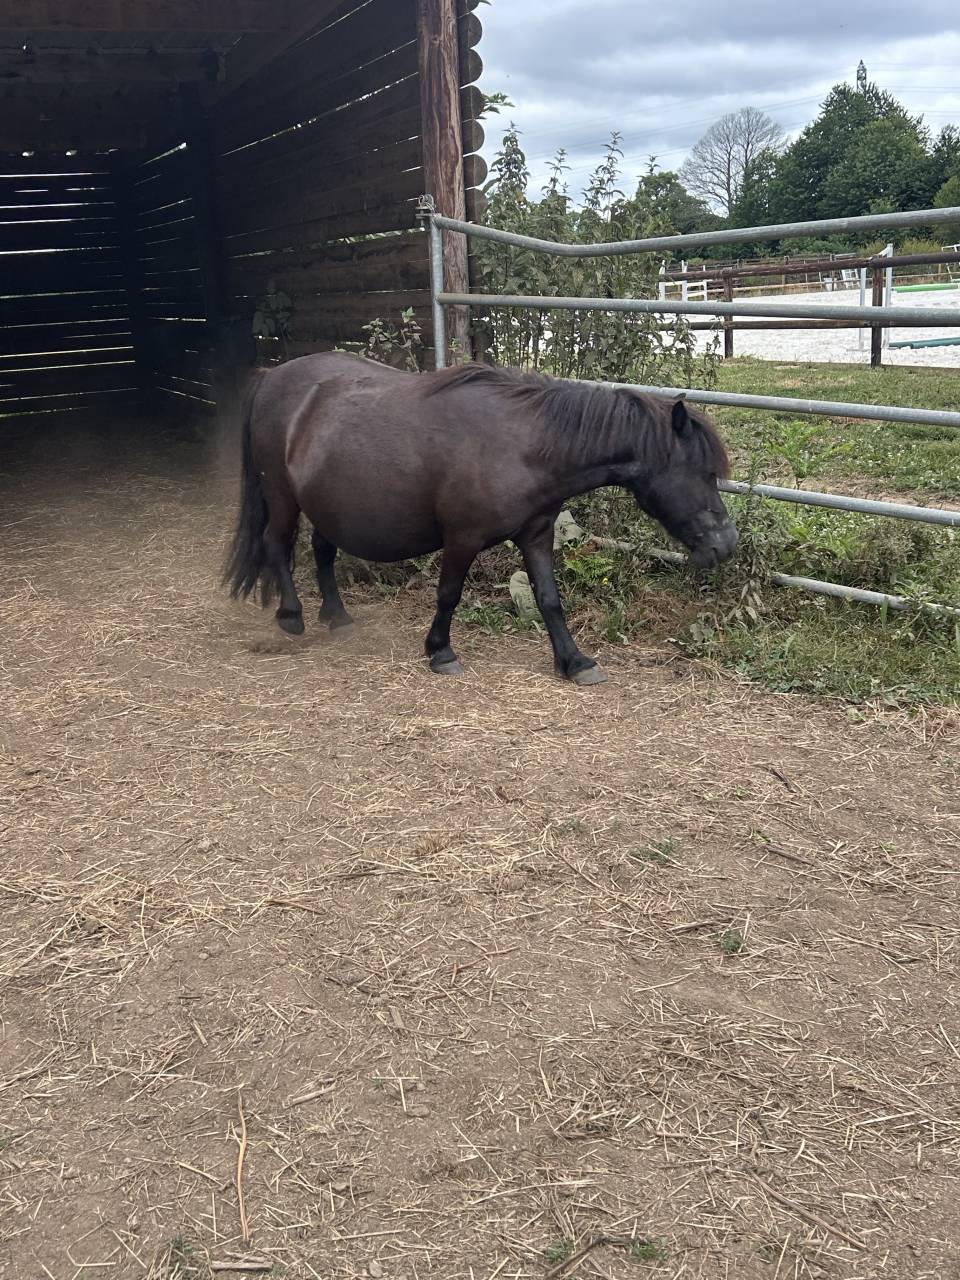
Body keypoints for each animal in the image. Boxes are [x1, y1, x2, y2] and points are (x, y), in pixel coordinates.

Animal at [224, 353, 737, 684]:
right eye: (705, 472)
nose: (725, 544)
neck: (523, 445)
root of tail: (273, 376)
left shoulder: (537, 534)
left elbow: (550, 599)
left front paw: (574, 662)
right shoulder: (462, 539)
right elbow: (448, 595)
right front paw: (440, 652)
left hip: (327, 505)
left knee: (322, 552)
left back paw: (337, 616)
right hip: (282, 497)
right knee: (276, 545)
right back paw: (292, 616)